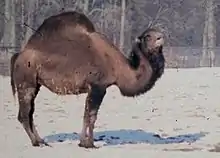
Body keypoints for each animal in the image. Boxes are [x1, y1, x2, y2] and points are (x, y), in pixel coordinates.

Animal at [10, 11, 165, 148]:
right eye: (147, 36)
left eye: (158, 33)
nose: (161, 37)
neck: (119, 68)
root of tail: (18, 55)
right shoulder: (98, 86)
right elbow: (91, 116)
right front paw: (89, 144)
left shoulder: (95, 88)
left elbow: (87, 115)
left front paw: (83, 142)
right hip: (26, 82)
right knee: (24, 114)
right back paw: (36, 143)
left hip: (36, 84)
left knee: (30, 112)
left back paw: (41, 141)